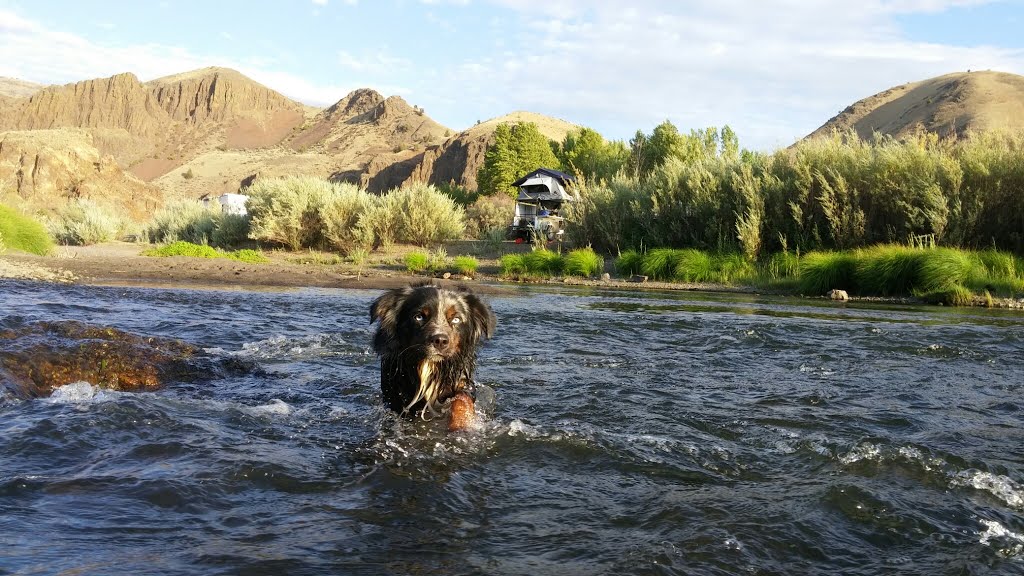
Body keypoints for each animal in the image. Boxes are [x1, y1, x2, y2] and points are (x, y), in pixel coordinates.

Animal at [370, 280, 497, 424]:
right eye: (419, 317)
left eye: (456, 319)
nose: (440, 341)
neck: (431, 365)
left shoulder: (461, 379)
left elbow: (462, 400)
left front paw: (462, 423)